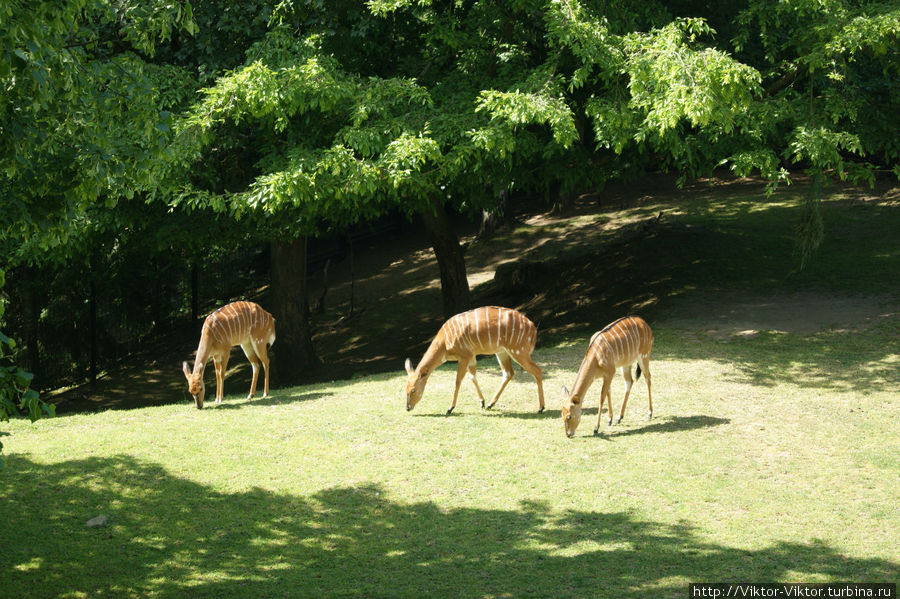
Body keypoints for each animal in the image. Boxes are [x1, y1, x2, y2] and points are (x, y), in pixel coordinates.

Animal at [404, 308, 544, 414]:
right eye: (405, 390)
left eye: (413, 390)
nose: (408, 407)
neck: (444, 343)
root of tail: (533, 328)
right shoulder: (471, 356)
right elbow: (472, 376)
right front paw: (482, 402)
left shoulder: (464, 356)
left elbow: (458, 381)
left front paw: (450, 408)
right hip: (502, 352)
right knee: (508, 373)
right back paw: (491, 404)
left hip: (518, 352)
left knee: (537, 371)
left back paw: (541, 408)